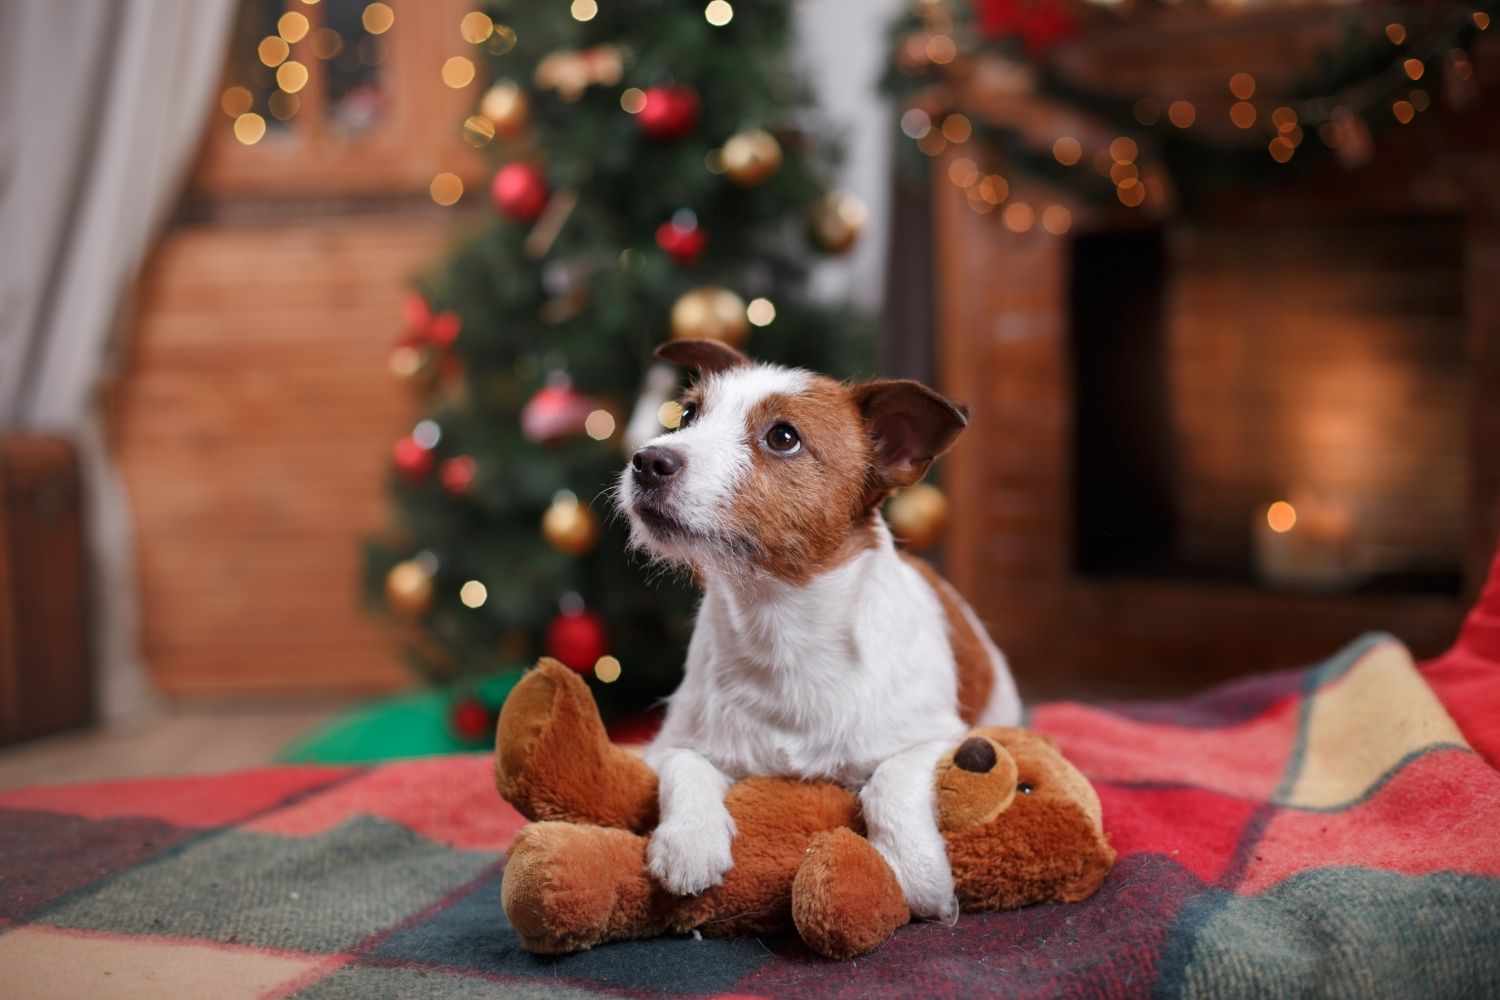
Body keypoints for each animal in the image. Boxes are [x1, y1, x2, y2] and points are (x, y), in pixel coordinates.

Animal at [618, 340, 1020, 917]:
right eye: (688, 415)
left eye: (783, 437)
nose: (647, 460)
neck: (781, 625)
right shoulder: (673, 741)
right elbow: (685, 769)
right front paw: (689, 840)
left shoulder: (938, 738)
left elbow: (889, 780)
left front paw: (916, 869)